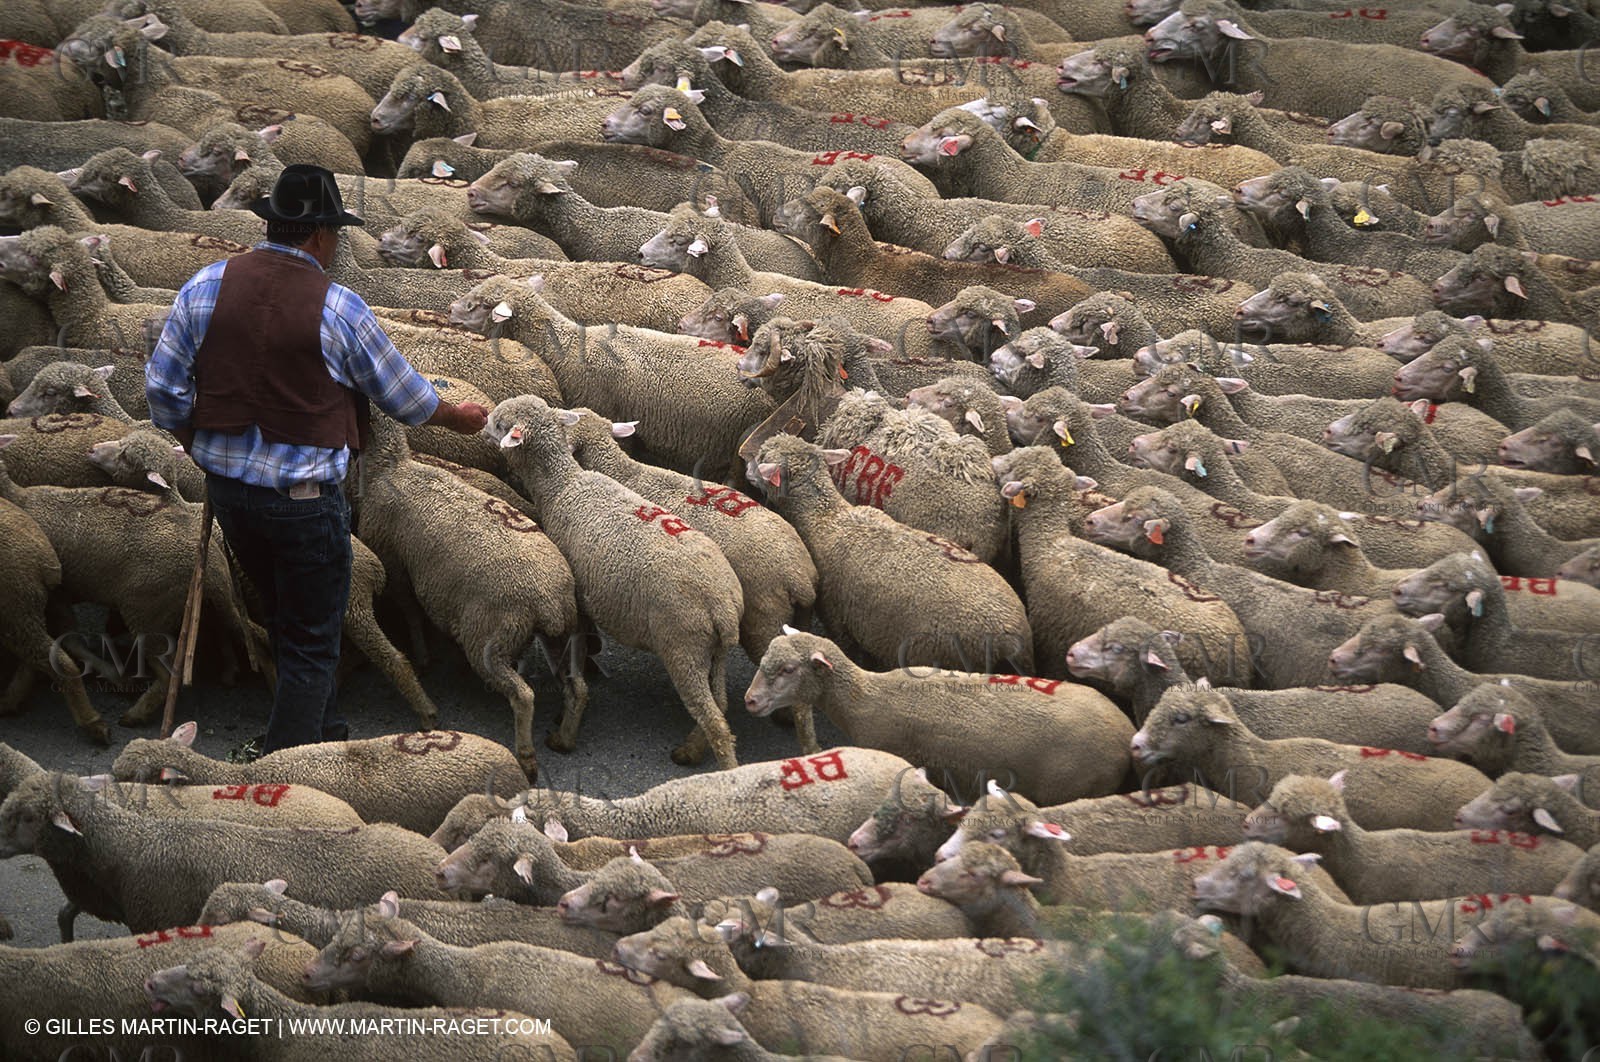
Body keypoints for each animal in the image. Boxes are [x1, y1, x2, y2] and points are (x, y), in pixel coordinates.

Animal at [485, 396, 744, 768]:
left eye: (499, 424)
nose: (481, 420)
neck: (562, 485)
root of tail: (722, 606)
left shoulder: (577, 599)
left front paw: (566, 732)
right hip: (717, 650)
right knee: (721, 705)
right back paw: (691, 750)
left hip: (684, 647)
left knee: (714, 720)